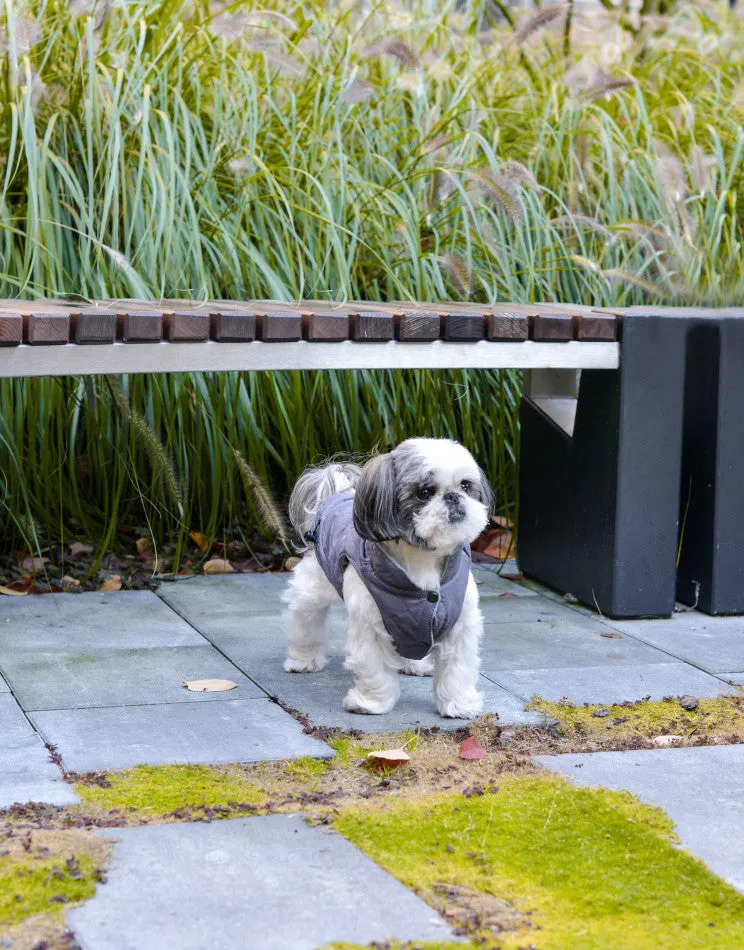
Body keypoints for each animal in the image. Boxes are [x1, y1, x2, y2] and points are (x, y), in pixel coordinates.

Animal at [282, 438, 492, 720]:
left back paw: (415, 664)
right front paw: (371, 703)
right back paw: (302, 660)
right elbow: (375, 669)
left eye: (466, 486)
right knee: (307, 624)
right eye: (425, 492)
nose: (453, 496)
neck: (423, 561)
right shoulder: (371, 626)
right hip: (311, 590)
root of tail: (337, 493)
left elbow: (457, 668)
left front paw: (458, 704)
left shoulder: (460, 624)